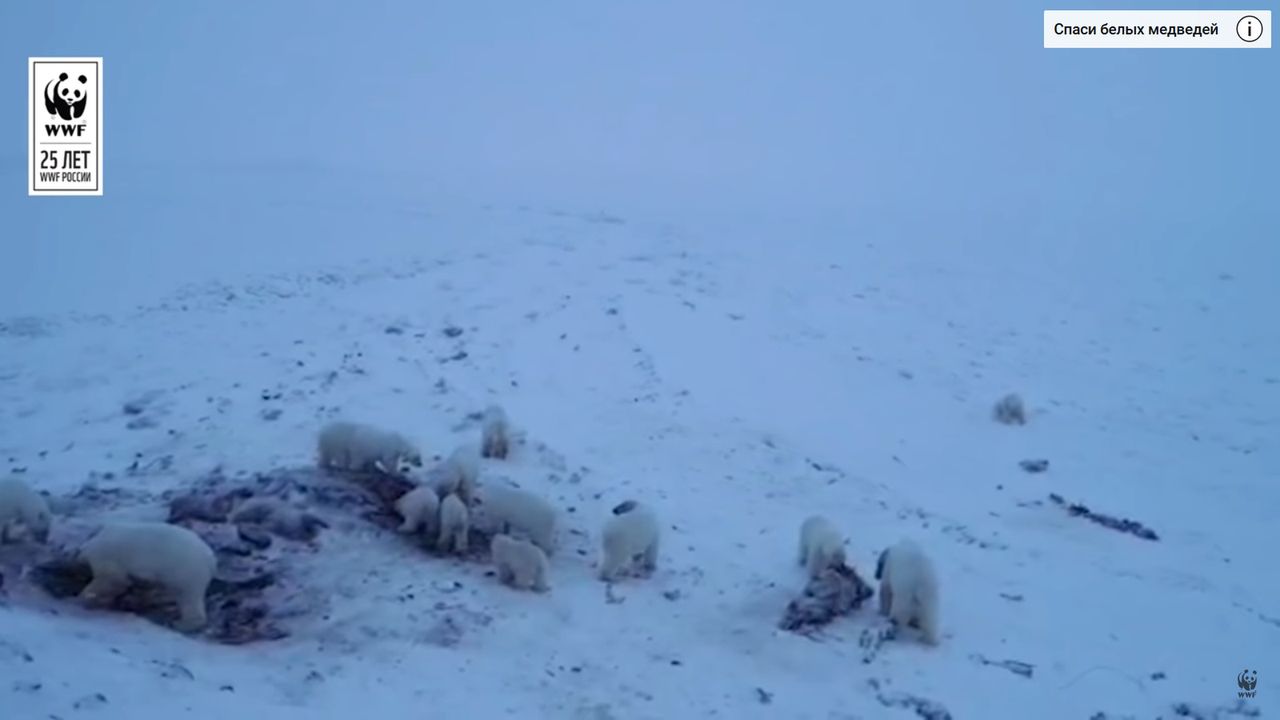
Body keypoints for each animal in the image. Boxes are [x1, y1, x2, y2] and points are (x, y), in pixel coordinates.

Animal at [77, 520, 218, 627]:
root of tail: (210, 558)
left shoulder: (106, 557)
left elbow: (114, 580)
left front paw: (87, 598)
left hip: (185, 569)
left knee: (188, 597)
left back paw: (182, 623)